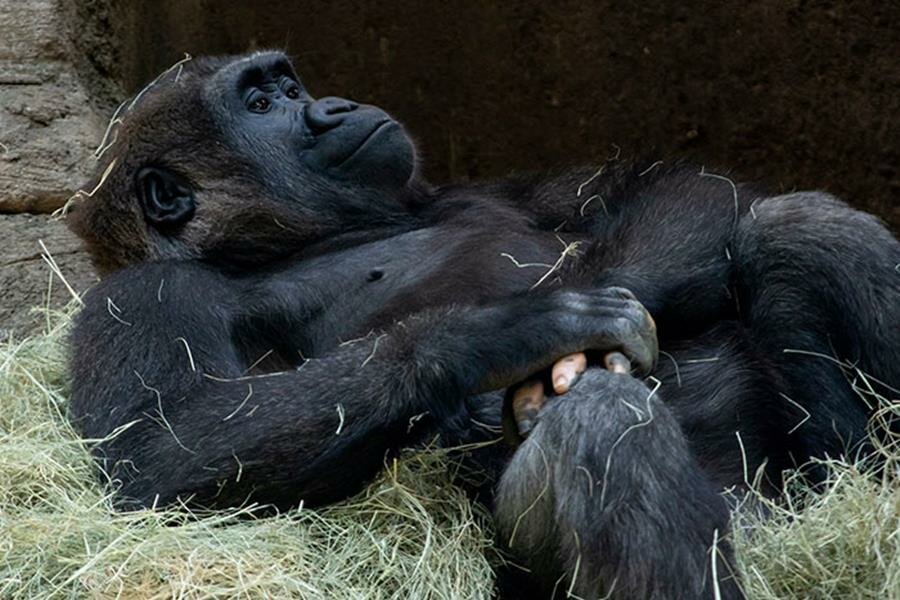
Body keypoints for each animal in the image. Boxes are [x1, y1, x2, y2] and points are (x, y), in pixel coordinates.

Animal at [65, 51, 900, 600]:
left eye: (290, 86)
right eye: (262, 107)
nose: (333, 106)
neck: (289, 241)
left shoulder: (481, 185)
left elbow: (680, 190)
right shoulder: (142, 294)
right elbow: (160, 453)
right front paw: (504, 335)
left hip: (807, 495)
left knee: (794, 229)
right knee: (605, 420)